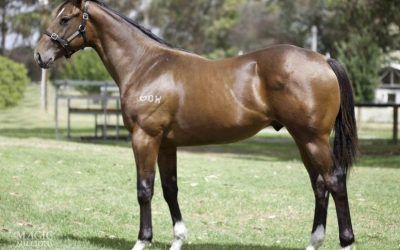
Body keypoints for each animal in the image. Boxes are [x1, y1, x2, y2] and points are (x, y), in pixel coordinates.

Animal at [34, 0, 358, 249]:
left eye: (64, 18)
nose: (40, 55)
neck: (146, 65)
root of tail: (324, 61)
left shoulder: (144, 137)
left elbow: (144, 189)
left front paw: (142, 240)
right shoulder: (166, 144)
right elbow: (170, 189)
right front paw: (178, 238)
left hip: (313, 138)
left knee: (335, 181)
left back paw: (347, 241)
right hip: (303, 139)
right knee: (319, 185)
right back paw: (314, 241)